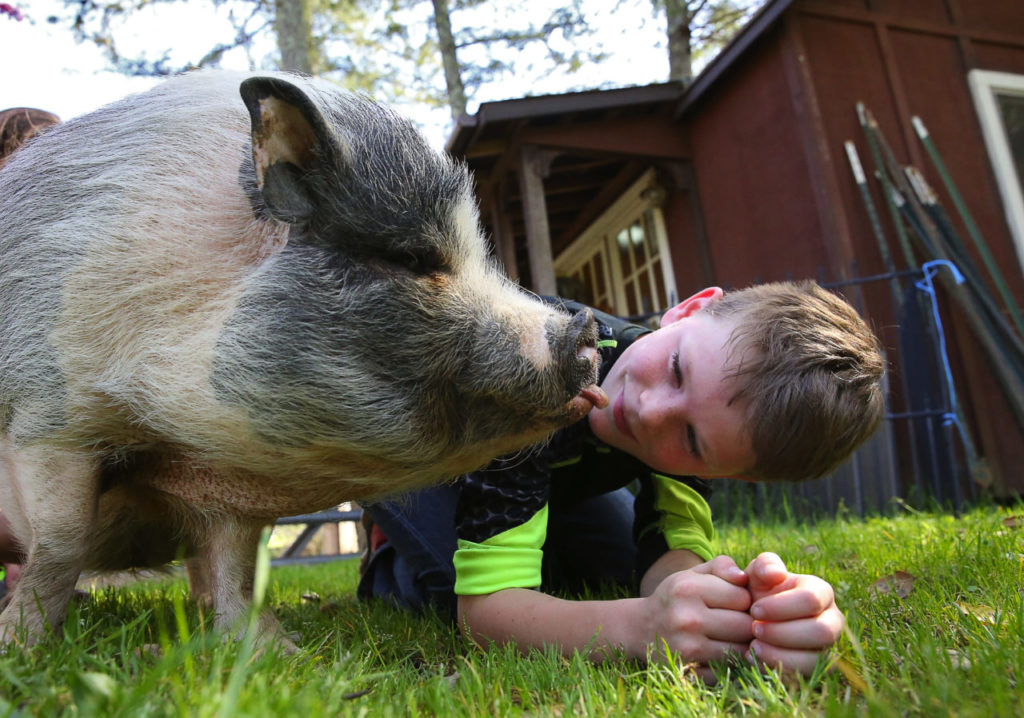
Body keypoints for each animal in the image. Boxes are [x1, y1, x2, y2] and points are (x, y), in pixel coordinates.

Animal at [0, 70, 608, 648]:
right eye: (411, 258)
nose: (584, 326)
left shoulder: (226, 483)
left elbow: (239, 566)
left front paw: (272, 650)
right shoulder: (49, 418)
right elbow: (62, 543)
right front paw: (25, 648)